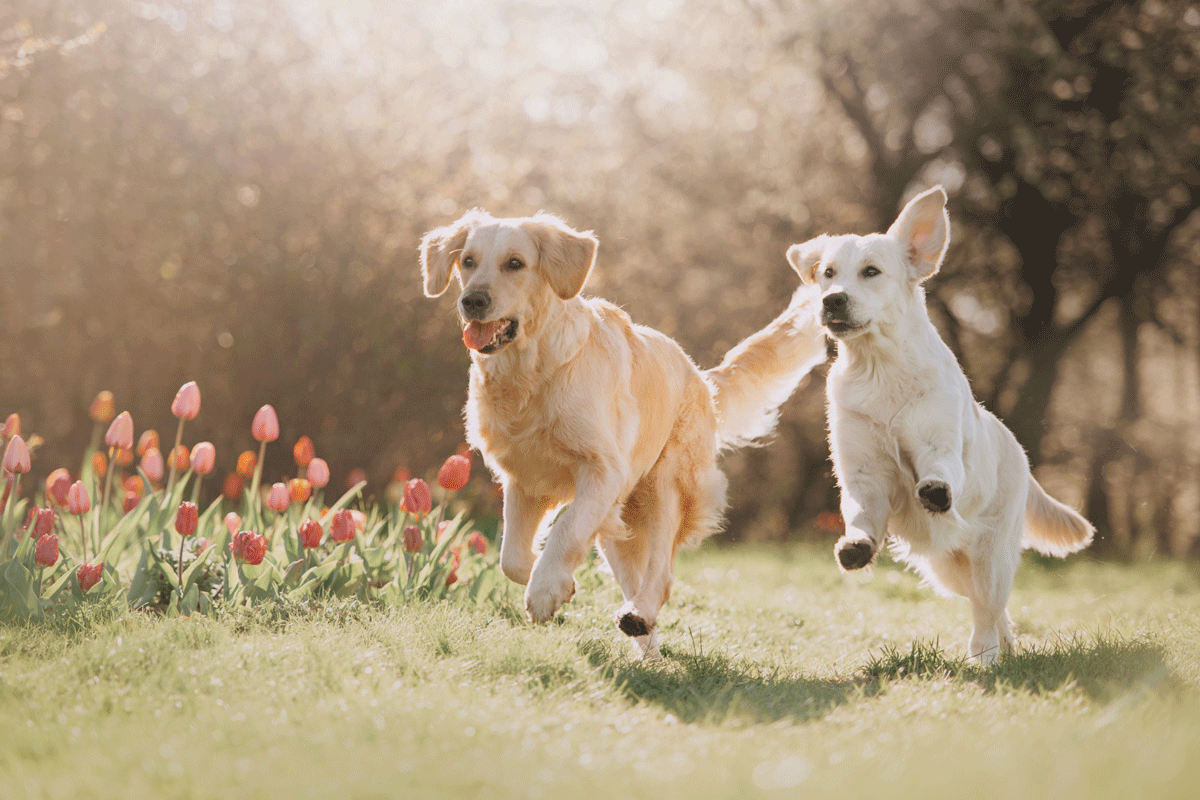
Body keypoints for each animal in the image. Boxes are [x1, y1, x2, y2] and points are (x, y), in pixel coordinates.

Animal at [420, 212, 825, 657]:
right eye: (468, 261)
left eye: (515, 264)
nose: (472, 301)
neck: (534, 371)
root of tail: (700, 375)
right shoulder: (525, 480)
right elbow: (510, 557)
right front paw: (558, 583)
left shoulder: (603, 470)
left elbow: (566, 528)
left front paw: (545, 591)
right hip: (619, 527)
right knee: (637, 581)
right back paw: (646, 645)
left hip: (666, 485)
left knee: (662, 576)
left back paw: (639, 614)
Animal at [787, 188, 1099, 662]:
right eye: (827, 273)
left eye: (871, 271)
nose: (832, 300)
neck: (880, 368)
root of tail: (1019, 452)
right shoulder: (861, 471)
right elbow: (859, 511)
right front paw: (857, 546)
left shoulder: (940, 445)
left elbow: (939, 470)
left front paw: (934, 491)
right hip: (948, 568)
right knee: (992, 609)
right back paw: (1005, 648)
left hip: (990, 558)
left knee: (988, 609)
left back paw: (986, 657)